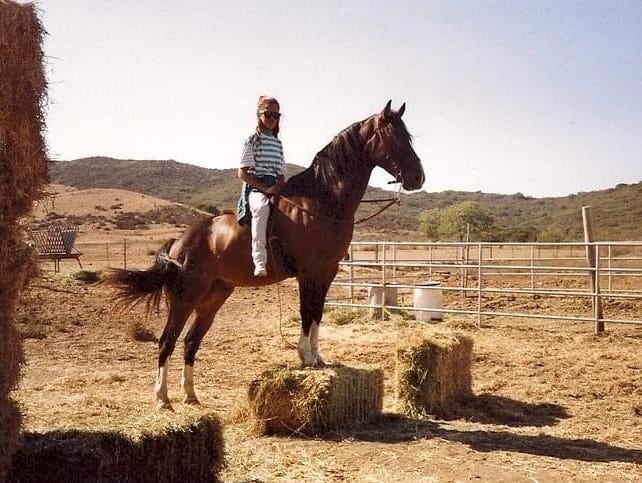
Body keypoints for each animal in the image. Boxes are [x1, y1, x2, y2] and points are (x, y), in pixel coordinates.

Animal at [104, 100, 425, 410]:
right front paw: (306, 357)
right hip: (184, 300)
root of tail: (178, 245)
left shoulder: (326, 272)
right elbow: (306, 313)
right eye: (394, 136)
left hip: (212, 300)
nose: (418, 177)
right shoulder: (309, 274)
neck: (320, 202)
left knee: (190, 342)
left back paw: (191, 396)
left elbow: (317, 313)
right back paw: (162, 399)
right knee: (166, 342)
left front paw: (318, 358)